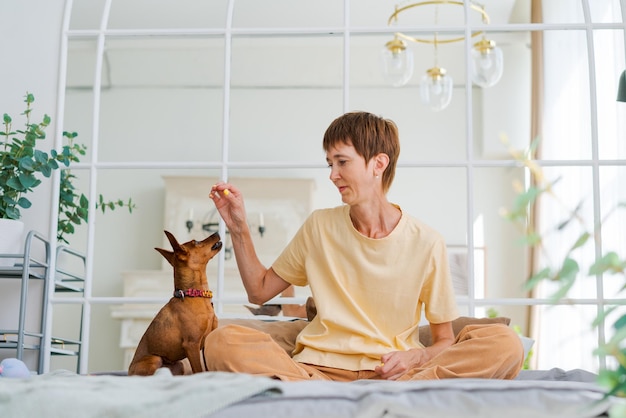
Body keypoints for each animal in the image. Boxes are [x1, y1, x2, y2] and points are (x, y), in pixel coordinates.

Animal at [125, 230, 221, 378]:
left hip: (178, 365)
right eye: (196, 242)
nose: (217, 232)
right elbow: (198, 370)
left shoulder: (205, 344)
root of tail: (129, 373)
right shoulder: (191, 344)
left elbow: (206, 369)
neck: (194, 295)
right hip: (155, 359)